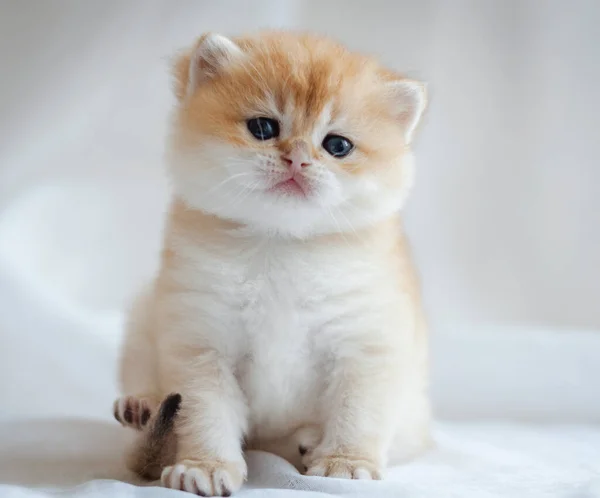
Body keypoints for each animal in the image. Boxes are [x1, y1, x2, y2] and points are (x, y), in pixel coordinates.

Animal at [115, 30, 428, 494]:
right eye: (263, 128)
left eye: (337, 145)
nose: (297, 158)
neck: (281, 244)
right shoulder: (201, 342)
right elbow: (204, 413)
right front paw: (205, 466)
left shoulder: (366, 344)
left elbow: (357, 411)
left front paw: (344, 461)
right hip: (143, 315)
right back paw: (141, 406)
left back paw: (308, 441)